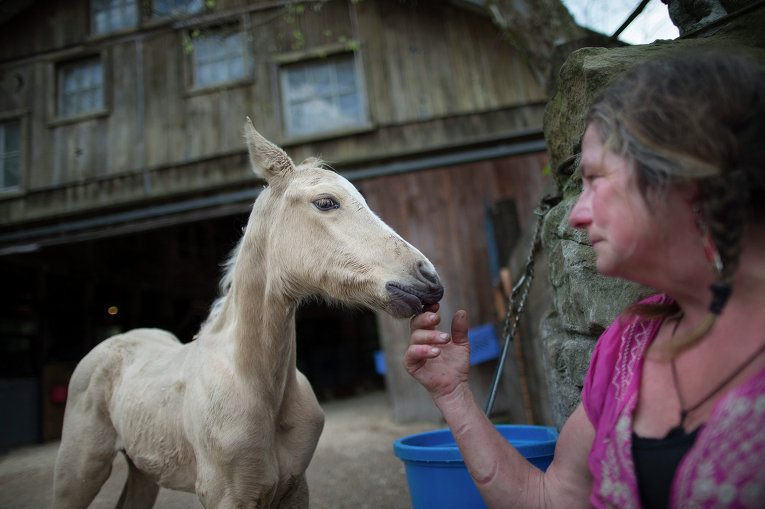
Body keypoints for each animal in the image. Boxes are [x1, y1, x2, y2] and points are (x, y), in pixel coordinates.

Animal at [52, 117, 442, 506]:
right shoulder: (227, 496)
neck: (256, 386)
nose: (431, 280)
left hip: (143, 470)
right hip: (79, 472)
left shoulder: (295, 488)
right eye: (325, 202)